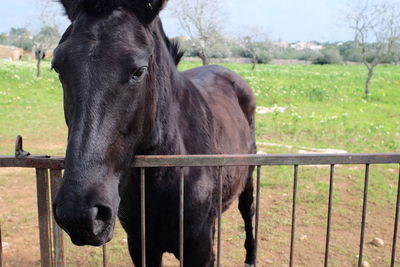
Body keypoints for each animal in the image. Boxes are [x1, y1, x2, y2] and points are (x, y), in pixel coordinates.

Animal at [52, 1, 256, 266]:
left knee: (248, 210)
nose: (79, 214)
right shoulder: (141, 246)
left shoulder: (199, 251)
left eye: (138, 71)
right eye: (57, 67)